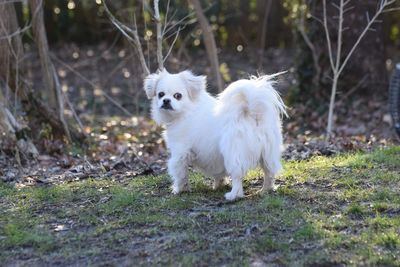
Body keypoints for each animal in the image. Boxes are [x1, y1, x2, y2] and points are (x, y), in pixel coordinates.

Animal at [145, 69, 286, 201]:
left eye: (177, 96)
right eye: (160, 94)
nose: (166, 100)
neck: (188, 110)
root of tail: (252, 113)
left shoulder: (180, 153)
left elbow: (180, 174)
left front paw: (179, 190)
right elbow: (219, 173)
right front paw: (219, 185)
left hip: (233, 153)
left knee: (237, 176)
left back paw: (233, 195)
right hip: (268, 154)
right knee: (269, 172)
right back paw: (265, 190)